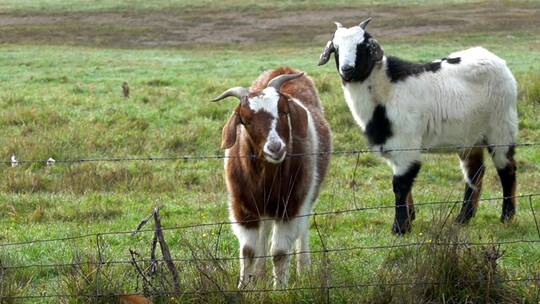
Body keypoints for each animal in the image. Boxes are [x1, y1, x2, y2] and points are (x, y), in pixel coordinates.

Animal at [212, 67, 334, 288]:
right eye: (246, 120)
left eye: (284, 112)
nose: (275, 148)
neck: (265, 177)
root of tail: (285, 68)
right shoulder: (243, 208)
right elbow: (248, 251)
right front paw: (244, 287)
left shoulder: (291, 206)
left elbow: (279, 252)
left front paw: (281, 289)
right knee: (264, 234)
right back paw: (260, 275)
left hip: (307, 196)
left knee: (302, 228)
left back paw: (304, 268)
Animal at [318, 17, 516, 234]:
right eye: (336, 48)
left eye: (362, 46)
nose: (347, 70)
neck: (385, 89)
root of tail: (497, 61)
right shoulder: (393, 145)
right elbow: (404, 185)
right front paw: (410, 219)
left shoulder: (405, 143)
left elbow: (400, 184)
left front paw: (400, 227)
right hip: (470, 137)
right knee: (474, 172)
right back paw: (463, 218)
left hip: (501, 127)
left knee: (507, 168)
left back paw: (506, 216)